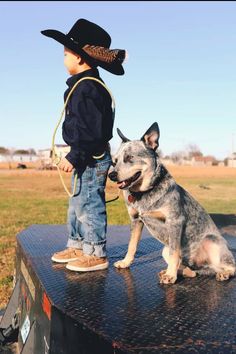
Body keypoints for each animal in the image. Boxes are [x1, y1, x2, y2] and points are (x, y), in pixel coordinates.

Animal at [108, 123, 235, 284]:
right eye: (114, 161)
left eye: (129, 157)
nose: (111, 175)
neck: (145, 192)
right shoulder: (136, 220)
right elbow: (132, 245)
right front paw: (125, 262)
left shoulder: (175, 221)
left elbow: (175, 252)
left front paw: (170, 276)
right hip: (165, 250)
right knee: (192, 270)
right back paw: (183, 271)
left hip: (211, 241)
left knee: (229, 266)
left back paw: (223, 273)